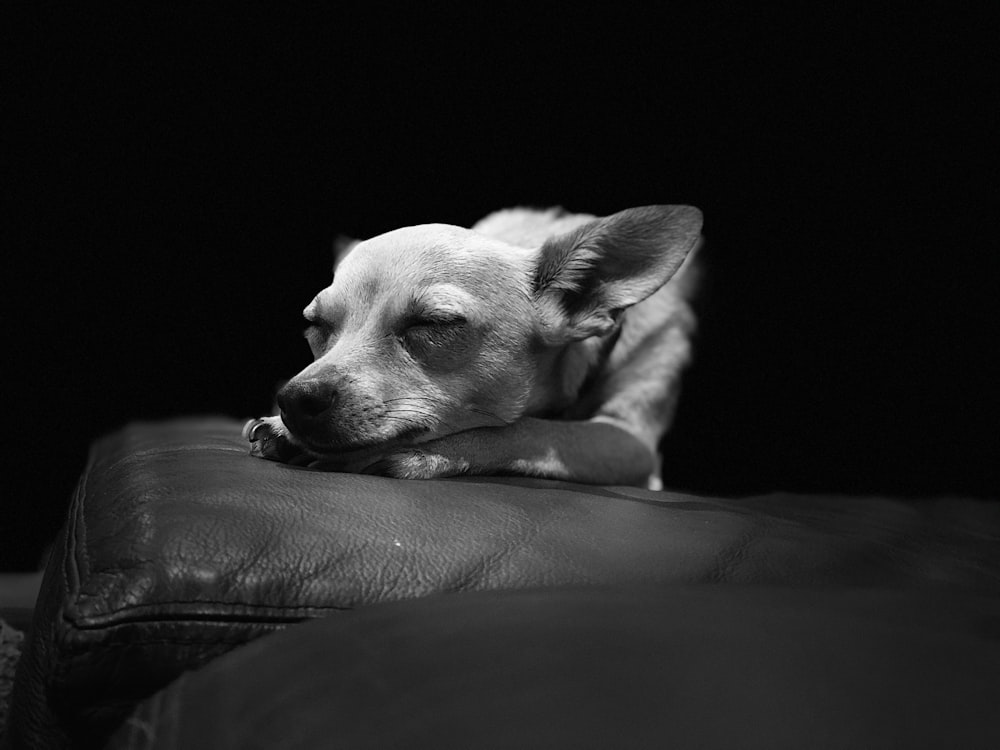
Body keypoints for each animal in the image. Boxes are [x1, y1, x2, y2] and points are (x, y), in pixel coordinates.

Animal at [244, 206, 704, 490]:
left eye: (433, 323)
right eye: (314, 325)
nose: (294, 399)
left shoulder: (630, 442)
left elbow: (525, 428)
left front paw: (415, 454)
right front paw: (282, 427)